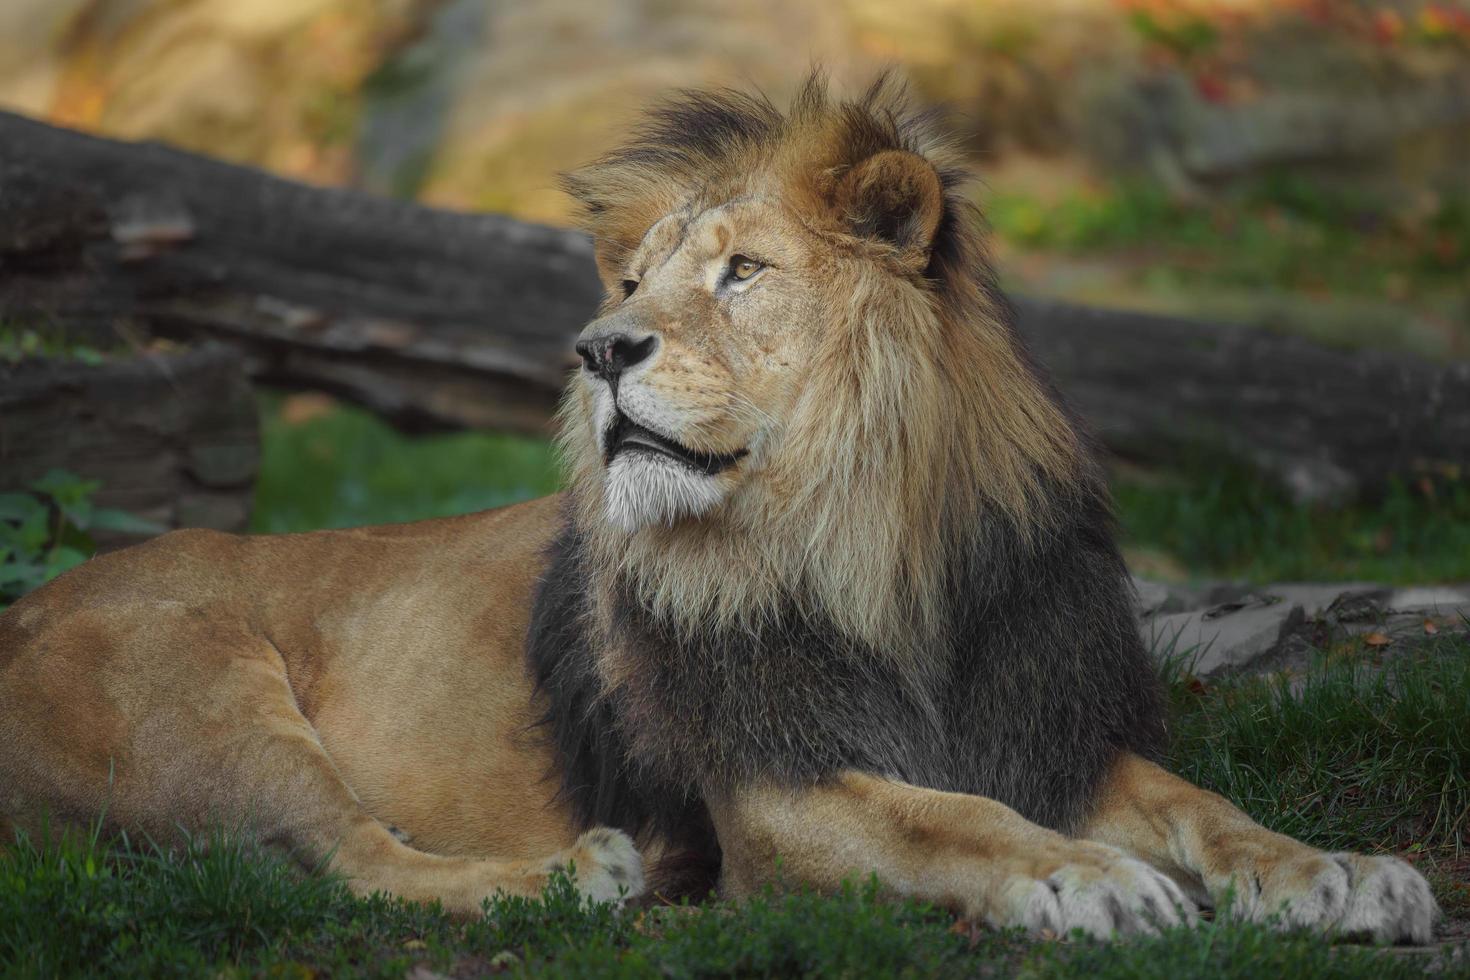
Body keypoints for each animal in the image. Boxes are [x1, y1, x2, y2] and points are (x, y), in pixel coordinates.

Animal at [0, 78, 1434, 940]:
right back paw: (574, 873)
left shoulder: (1043, 731)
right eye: (632, 282)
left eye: (742, 272)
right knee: (353, 860)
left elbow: (1206, 805)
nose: (598, 349)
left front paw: (1339, 870)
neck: (867, 546)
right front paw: (1080, 874)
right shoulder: (773, 792)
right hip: (208, 692)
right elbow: (951, 819)